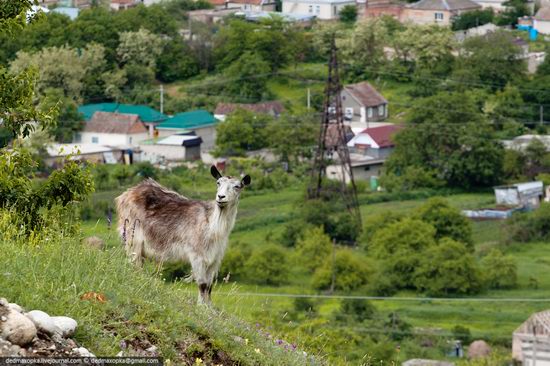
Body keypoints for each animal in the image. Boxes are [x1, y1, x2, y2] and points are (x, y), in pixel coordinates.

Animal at [118, 165, 254, 304]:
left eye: (237, 186)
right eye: (218, 183)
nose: (221, 197)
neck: (211, 225)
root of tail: (126, 194)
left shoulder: (214, 259)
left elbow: (209, 286)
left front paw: (209, 306)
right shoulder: (197, 256)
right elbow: (202, 284)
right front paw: (201, 306)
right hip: (133, 239)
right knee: (134, 265)